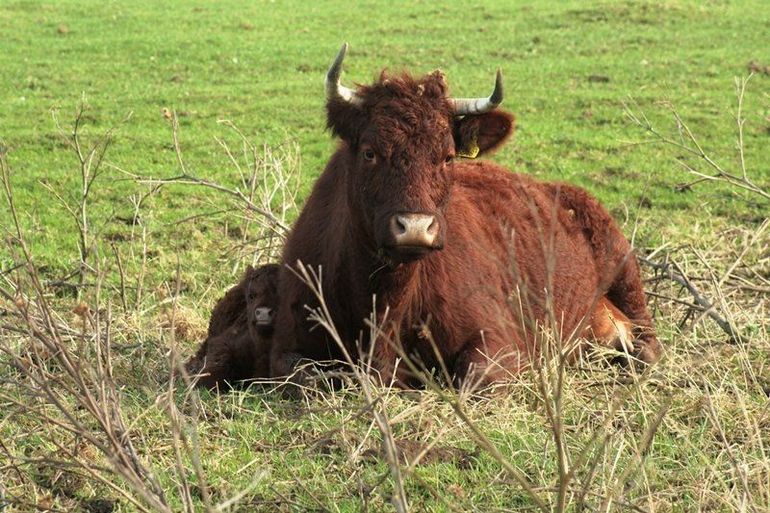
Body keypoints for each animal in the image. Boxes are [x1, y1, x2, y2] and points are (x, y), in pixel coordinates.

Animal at [268, 45, 656, 388]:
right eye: (369, 152)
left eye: (448, 156)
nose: (415, 228)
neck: (384, 300)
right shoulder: (285, 344)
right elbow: (302, 376)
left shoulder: (499, 340)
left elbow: (475, 377)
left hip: (625, 271)